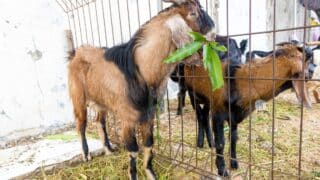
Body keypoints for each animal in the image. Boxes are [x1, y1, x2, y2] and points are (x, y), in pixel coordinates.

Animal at [67, 0, 214, 179]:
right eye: (193, 13)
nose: (214, 34)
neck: (142, 71)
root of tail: (76, 53)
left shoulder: (148, 115)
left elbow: (149, 145)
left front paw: (151, 173)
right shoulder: (127, 118)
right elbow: (133, 150)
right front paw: (133, 174)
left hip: (102, 101)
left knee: (99, 122)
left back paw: (108, 150)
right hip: (78, 97)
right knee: (81, 124)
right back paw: (86, 155)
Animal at [184, 43, 312, 176]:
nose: (311, 73)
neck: (239, 81)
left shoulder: (233, 116)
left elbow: (233, 139)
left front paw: (234, 164)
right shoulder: (218, 113)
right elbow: (221, 142)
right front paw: (222, 170)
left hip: (207, 100)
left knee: (204, 115)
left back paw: (209, 143)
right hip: (192, 94)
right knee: (200, 116)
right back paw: (200, 143)